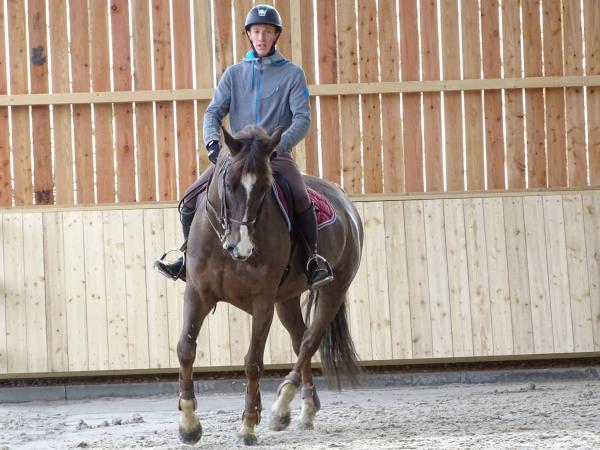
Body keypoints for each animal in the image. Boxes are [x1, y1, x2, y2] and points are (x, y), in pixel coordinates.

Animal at [176, 125, 364, 444]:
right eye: (229, 182)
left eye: (266, 188)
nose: (241, 248)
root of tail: (345, 202)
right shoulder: (197, 293)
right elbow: (185, 349)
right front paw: (189, 424)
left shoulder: (262, 302)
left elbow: (253, 362)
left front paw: (248, 425)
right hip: (286, 300)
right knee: (300, 338)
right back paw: (306, 409)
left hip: (334, 289)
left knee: (310, 341)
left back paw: (282, 406)